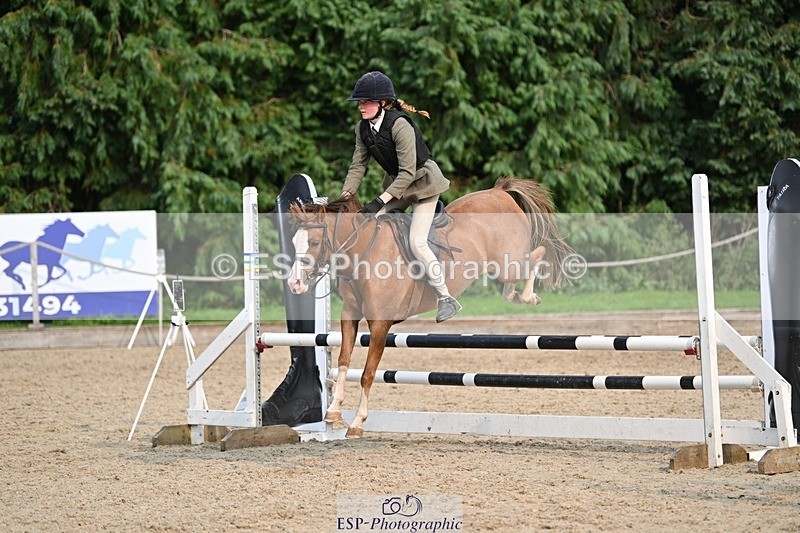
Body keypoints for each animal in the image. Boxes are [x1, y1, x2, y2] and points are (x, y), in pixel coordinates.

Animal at [286, 177, 572, 438]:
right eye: (294, 242)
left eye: (314, 243)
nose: (294, 284)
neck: (364, 253)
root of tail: (499, 191)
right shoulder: (349, 317)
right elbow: (344, 361)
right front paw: (333, 413)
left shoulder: (380, 324)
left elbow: (368, 373)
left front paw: (357, 423)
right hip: (501, 267)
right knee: (514, 281)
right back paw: (516, 295)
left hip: (509, 263)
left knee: (537, 254)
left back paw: (529, 297)